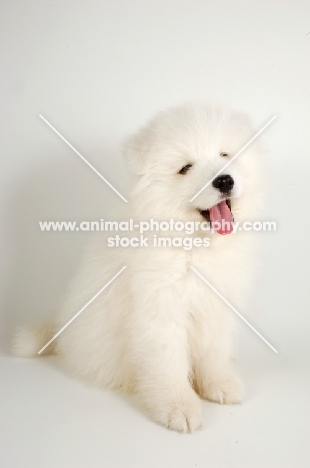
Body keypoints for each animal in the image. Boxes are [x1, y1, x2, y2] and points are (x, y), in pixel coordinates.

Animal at [13, 104, 264, 434]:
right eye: (185, 168)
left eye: (224, 155)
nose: (224, 181)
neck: (193, 245)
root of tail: (60, 328)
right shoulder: (159, 309)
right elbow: (168, 363)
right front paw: (179, 407)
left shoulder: (216, 305)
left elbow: (214, 351)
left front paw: (220, 385)